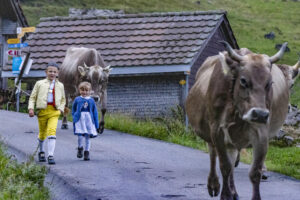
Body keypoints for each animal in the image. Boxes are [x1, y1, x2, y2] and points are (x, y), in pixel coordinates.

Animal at [188, 41, 288, 199]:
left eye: (269, 83)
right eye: (243, 80)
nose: (260, 114)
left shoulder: (261, 133)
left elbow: (255, 172)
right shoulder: (217, 131)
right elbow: (224, 166)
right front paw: (225, 195)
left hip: (233, 141)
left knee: (233, 161)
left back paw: (234, 191)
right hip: (211, 134)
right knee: (213, 154)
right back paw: (214, 185)